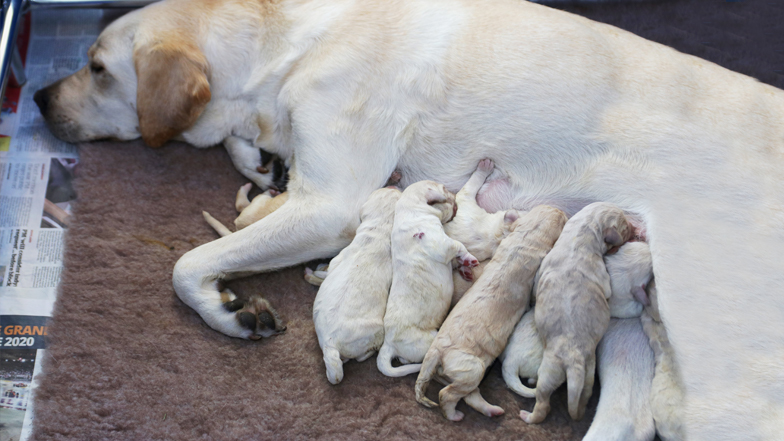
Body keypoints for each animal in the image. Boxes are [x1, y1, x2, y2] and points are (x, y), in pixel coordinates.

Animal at [378, 180, 480, 376]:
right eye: (445, 189)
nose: (455, 196)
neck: (412, 211)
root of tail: (388, 343)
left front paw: (465, 268)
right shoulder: (442, 245)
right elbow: (458, 245)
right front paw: (469, 259)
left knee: (404, 359)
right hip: (428, 340)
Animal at [414, 205, 568, 422]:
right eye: (563, 219)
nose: (558, 208)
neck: (527, 237)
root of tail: (434, 352)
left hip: (456, 374)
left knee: (469, 395)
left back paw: (492, 410)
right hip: (470, 368)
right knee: (446, 395)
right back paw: (454, 415)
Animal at [520, 202, 636, 422]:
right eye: (626, 227)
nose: (636, 228)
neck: (582, 233)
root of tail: (574, 359)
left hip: (554, 370)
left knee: (543, 403)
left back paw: (529, 416)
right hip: (583, 372)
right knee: (578, 396)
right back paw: (579, 411)